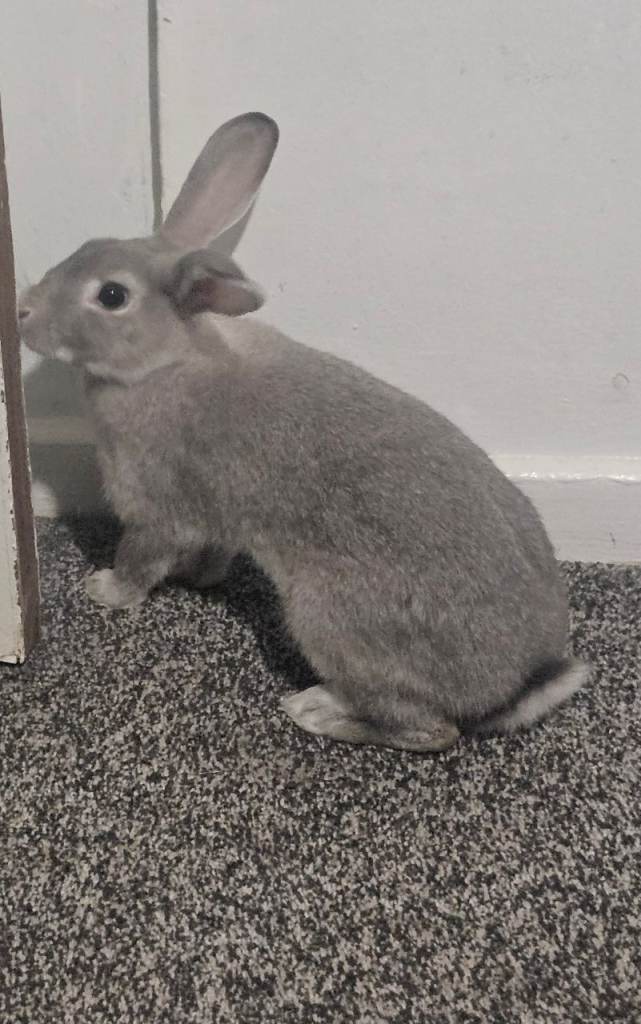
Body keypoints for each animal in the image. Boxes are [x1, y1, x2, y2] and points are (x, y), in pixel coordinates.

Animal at [19, 112, 590, 752]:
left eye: (111, 295)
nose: (23, 313)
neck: (163, 362)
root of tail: (516, 682)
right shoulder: (214, 516)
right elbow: (209, 551)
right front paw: (199, 578)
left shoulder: (156, 506)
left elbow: (140, 557)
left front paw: (105, 591)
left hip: (331, 622)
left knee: (430, 730)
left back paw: (317, 710)